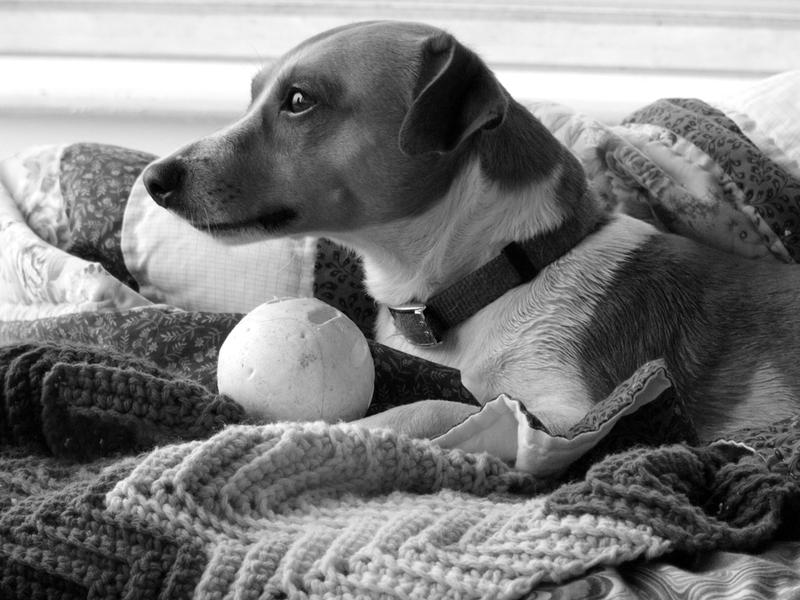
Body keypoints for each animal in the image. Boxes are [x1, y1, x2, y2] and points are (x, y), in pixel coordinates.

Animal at [141, 19, 800, 440]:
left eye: (299, 100)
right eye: (253, 96)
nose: (152, 178)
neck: (496, 273)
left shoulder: (573, 415)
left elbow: (440, 406)